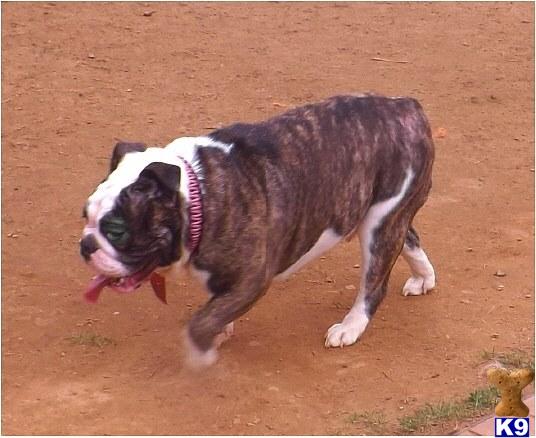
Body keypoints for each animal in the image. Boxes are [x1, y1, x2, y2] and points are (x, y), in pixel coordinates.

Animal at [81, 93, 438, 366]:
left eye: (116, 231)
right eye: (85, 215)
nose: (86, 245)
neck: (197, 195)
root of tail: (406, 108)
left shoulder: (254, 278)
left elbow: (202, 321)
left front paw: (200, 352)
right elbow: (216, 306)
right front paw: (220, 328)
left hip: (378, 226)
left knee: (374, 282)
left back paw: (350, 327)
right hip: (385, 215)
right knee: (409, 237)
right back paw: (423, 278)